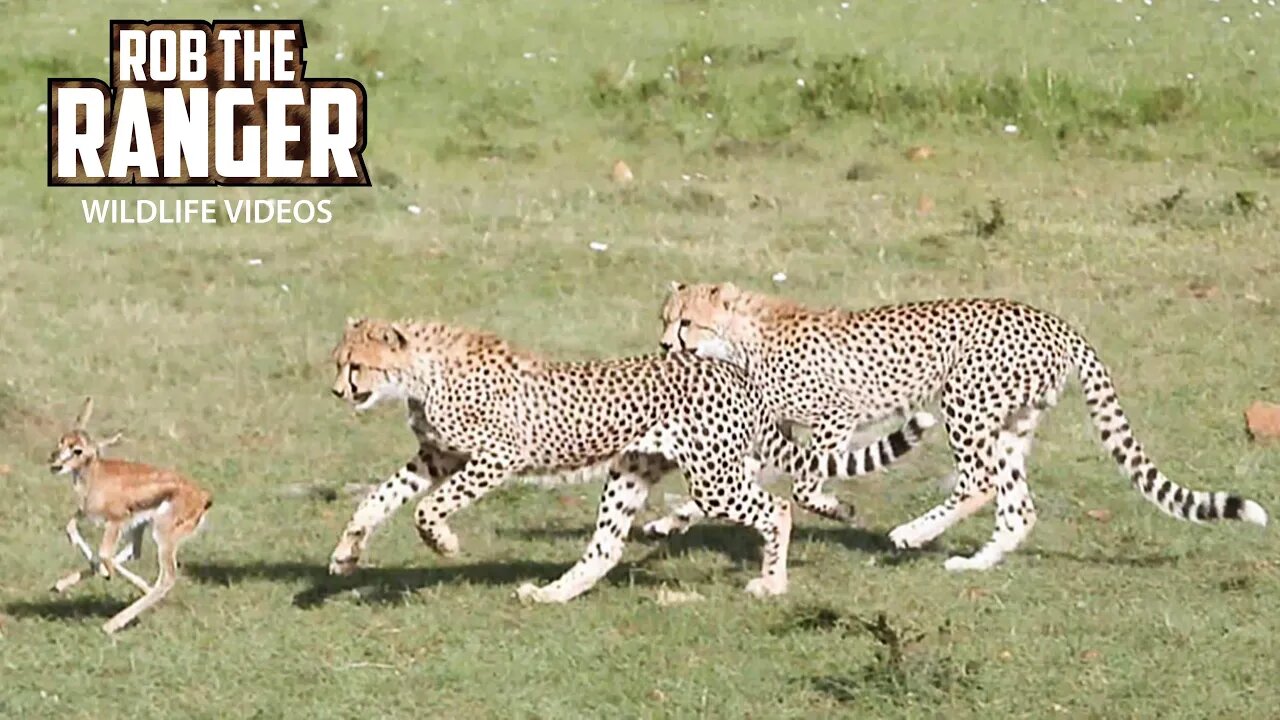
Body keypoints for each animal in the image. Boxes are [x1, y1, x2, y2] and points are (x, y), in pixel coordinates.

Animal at [325, 315, 936, 599]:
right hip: (630, 470)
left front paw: (444, 543)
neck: (420, 372)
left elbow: (428, 508)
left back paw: (771, 583)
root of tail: (733, 371)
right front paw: (345, 555)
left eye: (356, 365)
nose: (336, 392)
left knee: (777, 509)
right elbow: (377, 500)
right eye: (339, 362)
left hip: (713, 478)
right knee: (606, 547)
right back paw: (553, 594)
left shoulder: (497, 456)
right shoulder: (438, 457)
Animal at [660, 279, 1269, 566]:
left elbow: (807, 486)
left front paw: (840, 508)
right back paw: (975, 564)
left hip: (965, 404)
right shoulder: (778, 433)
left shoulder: (838, 415)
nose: (664, 346)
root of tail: (1055, 320)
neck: (745, 335)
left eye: (686, 322)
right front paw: (673, 520)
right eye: (665, 318)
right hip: (1010, 425)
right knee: (1017, 505)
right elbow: (743, 479)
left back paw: (913, 533)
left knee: (978, 483)